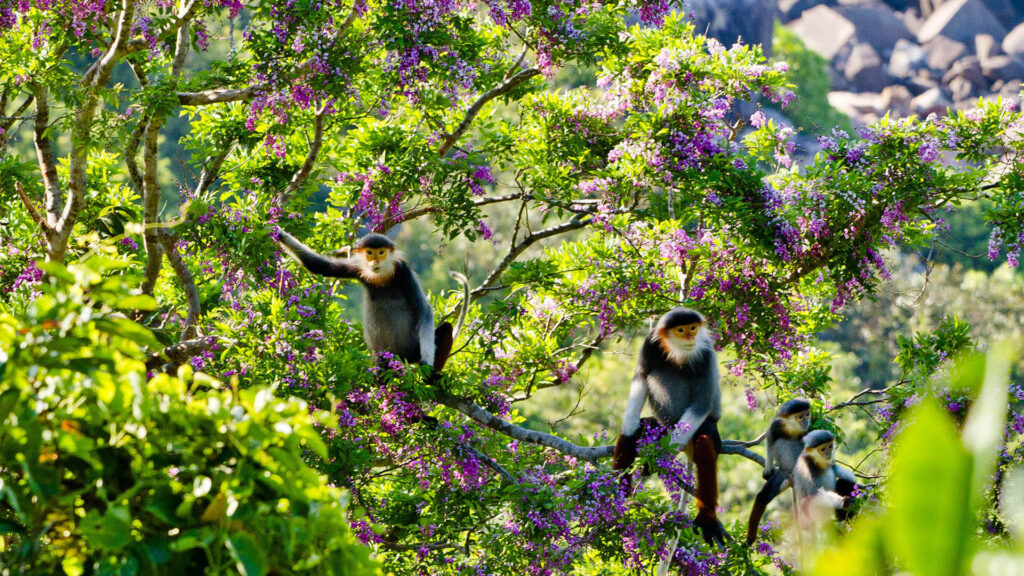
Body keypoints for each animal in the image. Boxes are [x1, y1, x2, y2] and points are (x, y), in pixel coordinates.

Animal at [273, 228, 469, 372]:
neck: (382, 276)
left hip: (413, 349)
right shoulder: (357, 268)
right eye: (369, 253)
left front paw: (427, 361)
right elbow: (317, 265)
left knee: (446, 328)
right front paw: (280, 232)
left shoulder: (403, 272)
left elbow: (423, 310)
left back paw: (433, 380)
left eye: (381, 252)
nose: (374, 262)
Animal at [611, 307, 729, 546]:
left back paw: (707, 518)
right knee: (643, 425)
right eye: (681, 330)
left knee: (705, 442)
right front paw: (629, 438)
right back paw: (618, 496)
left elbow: (702, 404)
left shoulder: (707, 354)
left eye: (693, 328)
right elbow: (641, 378)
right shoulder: (649, 345)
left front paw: (658, 458)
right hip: (662, 427)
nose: (691, 337)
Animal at [745, 398, 811, 544]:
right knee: (762, 497)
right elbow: (770, 441)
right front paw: (768, 469)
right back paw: (750, 540)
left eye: (807, 415)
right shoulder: (777, 425)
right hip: (783, 474)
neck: (792, 427)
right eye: (800, 416)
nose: (806, 421)